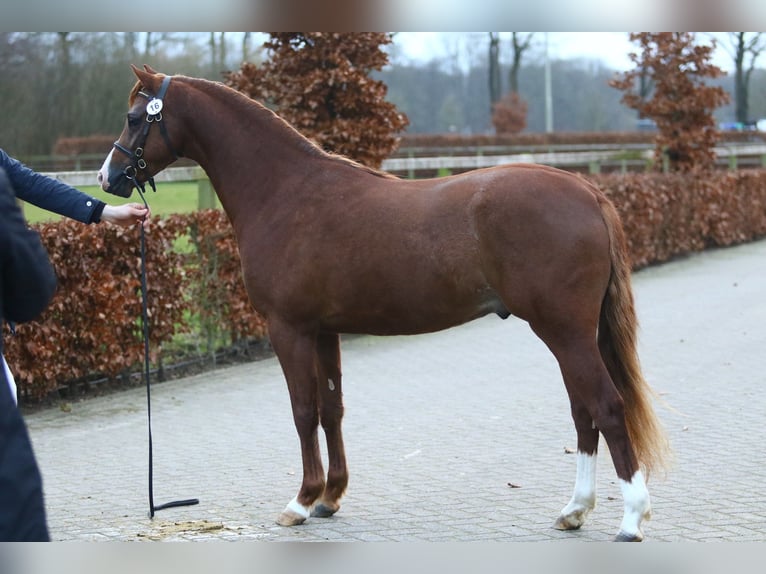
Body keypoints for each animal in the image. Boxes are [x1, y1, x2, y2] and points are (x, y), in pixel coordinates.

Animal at [99, 65, 668, 544]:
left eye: (134, 118)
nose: (108, 178)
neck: (286, 191)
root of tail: (586, 190)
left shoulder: (289, 328)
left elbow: (302, 410)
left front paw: (300, 502)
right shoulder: (323, 330)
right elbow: (331, 409)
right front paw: (330, 497)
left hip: (564, 331)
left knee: (606, 407)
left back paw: (630, 519)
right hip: (572, 334)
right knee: (583, 412)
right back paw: (575, 510)